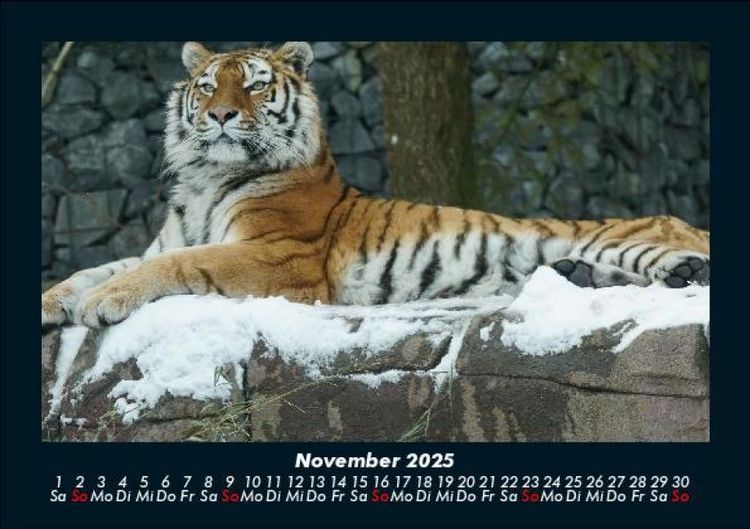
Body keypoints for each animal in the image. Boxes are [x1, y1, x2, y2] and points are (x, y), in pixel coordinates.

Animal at [41, 41, 710, 330]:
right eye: (208, 86)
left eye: (254, 85)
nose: (222, 114)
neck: (207, 178)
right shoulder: (165, 240)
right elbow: (96, 267)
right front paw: (57, 300)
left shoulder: (279, 256)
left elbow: (175, 266)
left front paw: (103, 303)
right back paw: (579, 277)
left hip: (628, 237)